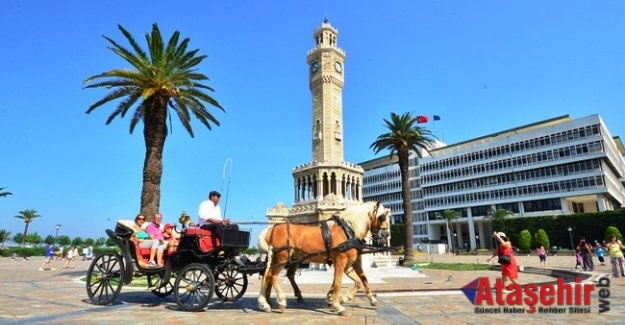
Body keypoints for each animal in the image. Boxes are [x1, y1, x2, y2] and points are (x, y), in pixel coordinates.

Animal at [258, 201, 386, 316]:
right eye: (382, 217)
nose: (386, 235)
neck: (348, 231)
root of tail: (271, 230)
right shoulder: (340, 261)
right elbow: (338, 282)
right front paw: (338, 306)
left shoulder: (348, 264)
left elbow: (360, 281)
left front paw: (342, 299)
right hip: (282, 258)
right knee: (272, 276)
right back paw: (281, 302)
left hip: (283, 259)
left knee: (269, 275)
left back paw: (266, 303)